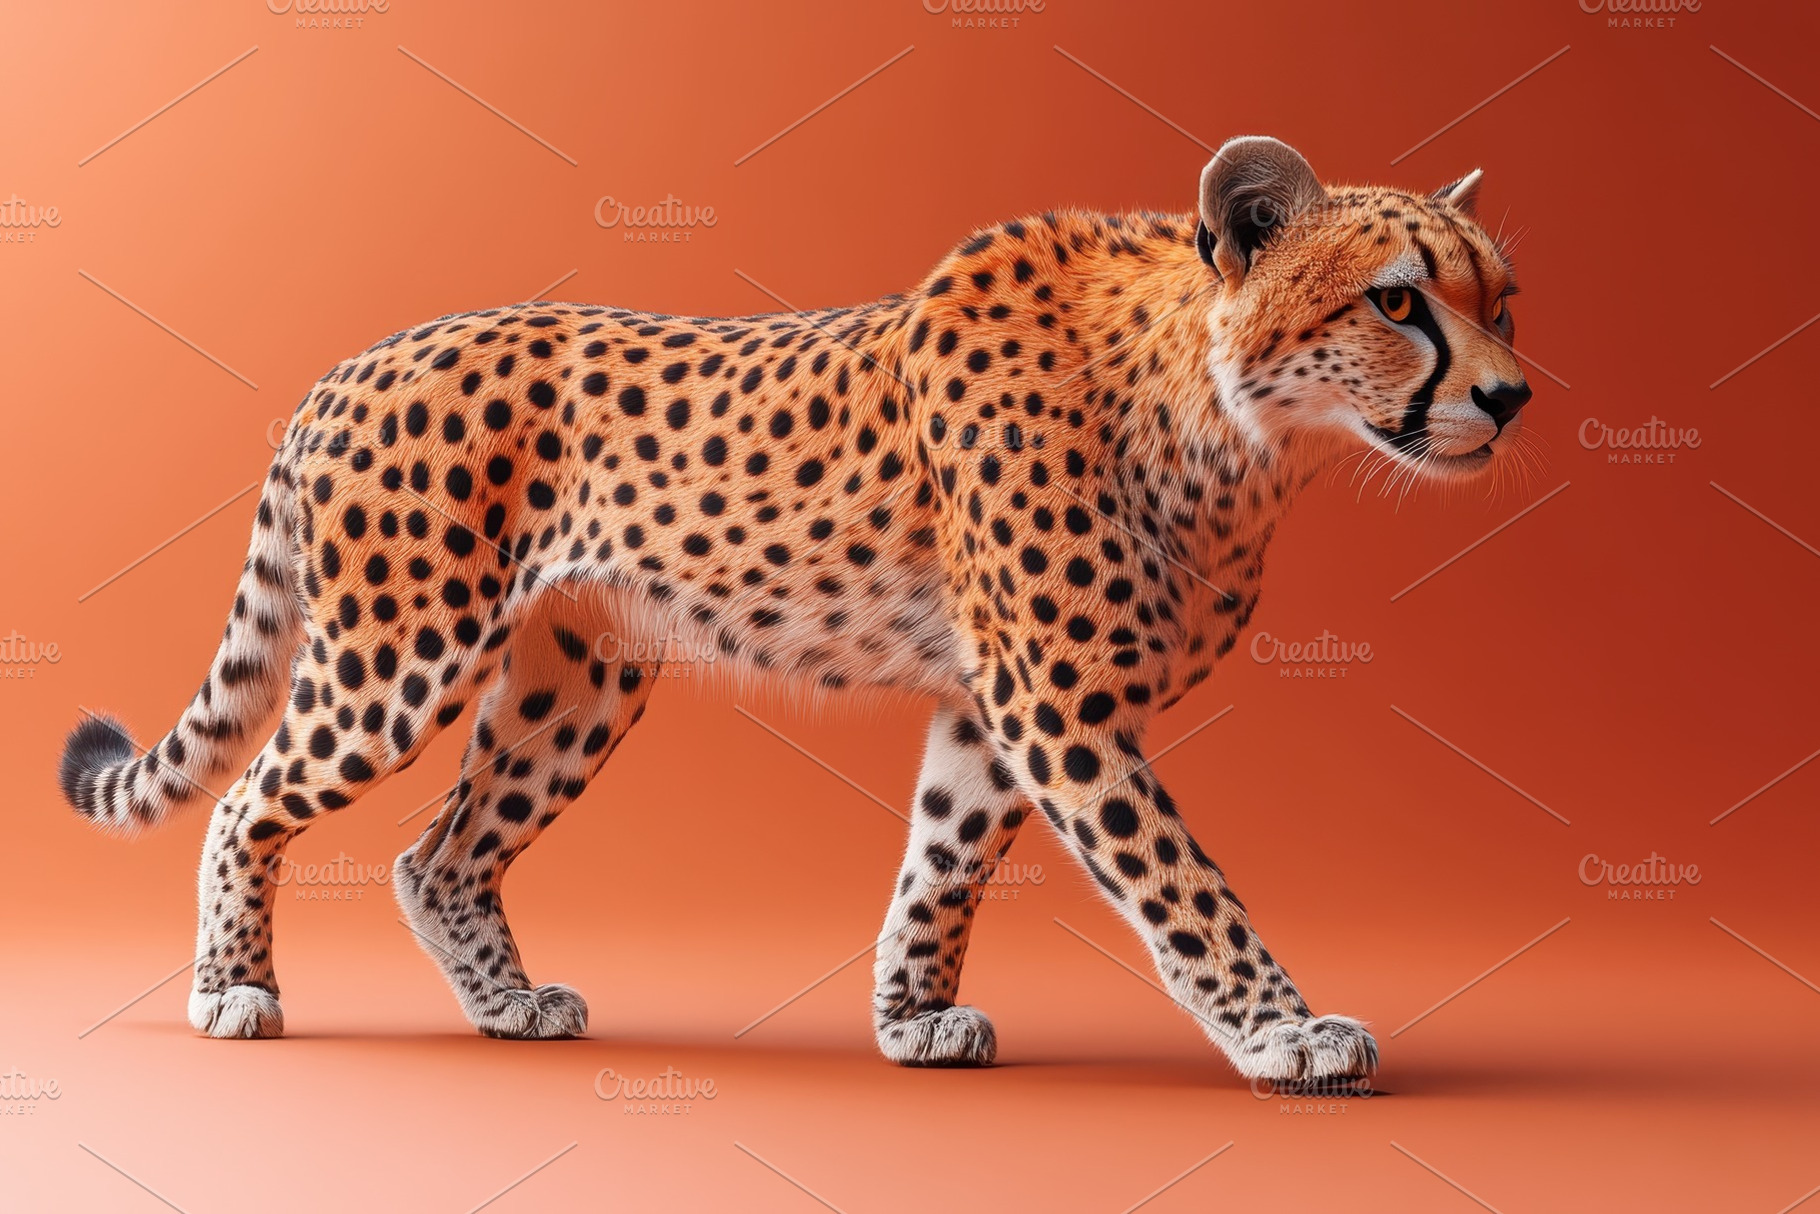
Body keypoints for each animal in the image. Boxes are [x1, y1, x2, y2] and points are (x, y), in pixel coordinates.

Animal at [59, 136, 1529, 1083]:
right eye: (1397, 299)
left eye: (1502, 302)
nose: (1511, 396)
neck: (1231, 421)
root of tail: (354, 359)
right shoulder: (1056, 703)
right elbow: (1181, 883)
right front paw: (1285, 1031)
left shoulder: (990, 707)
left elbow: (942, 859)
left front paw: (910, 1017)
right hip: (394, 657)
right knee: (249, 802)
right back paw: (232, 988)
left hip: (577, 680)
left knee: (439, 853)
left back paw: (508, 1004)